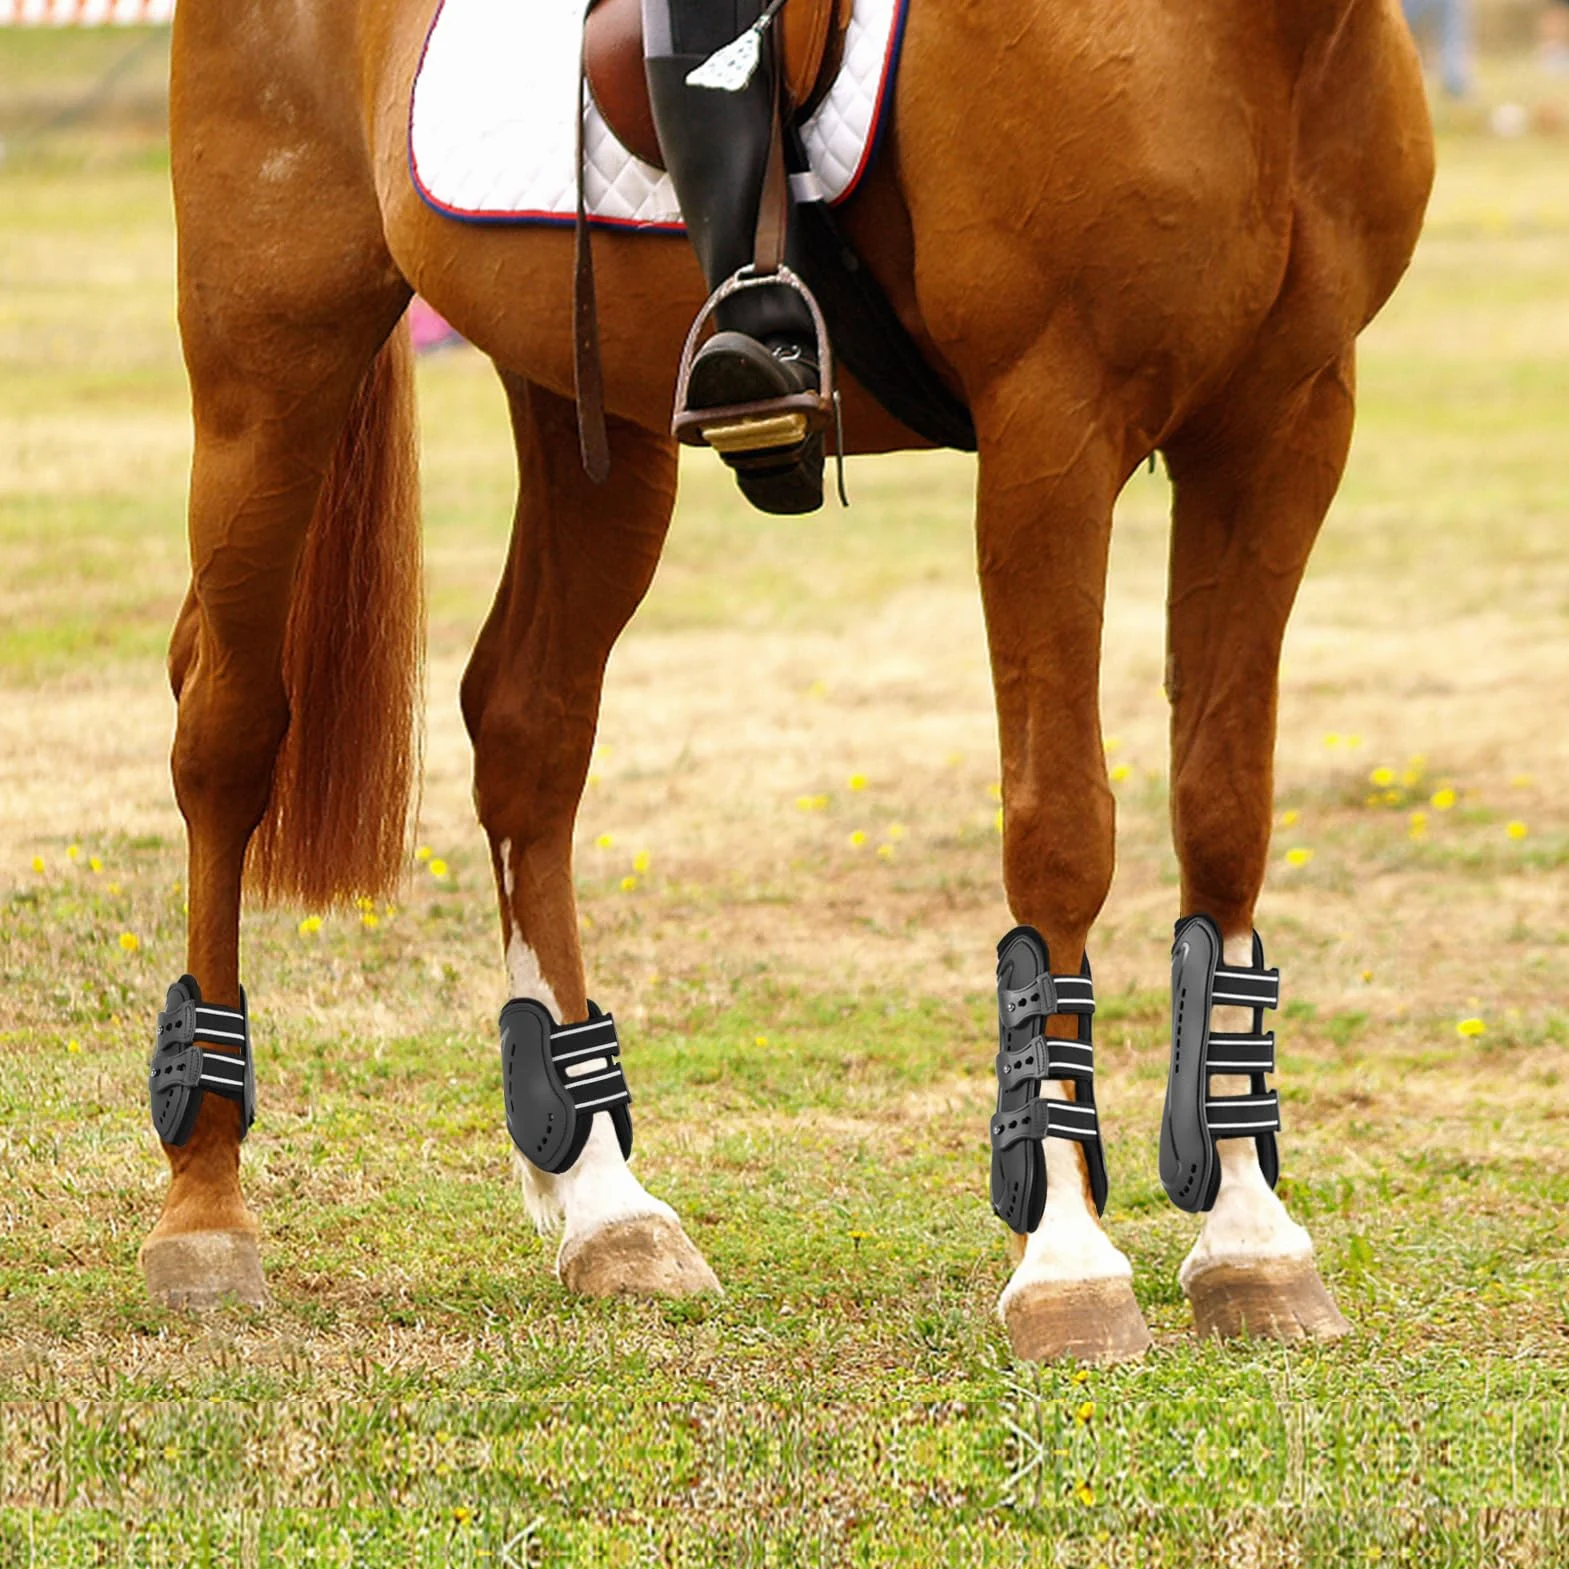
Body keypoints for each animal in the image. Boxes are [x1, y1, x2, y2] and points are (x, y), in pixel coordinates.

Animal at [145, 0, 1433, 1362]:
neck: (1267, 41)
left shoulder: (1283, 426)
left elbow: (1226, 813)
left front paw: (1252, 1242)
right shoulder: (1051, 429)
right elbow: (1063, 828)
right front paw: (1067, 1257)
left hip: (587, 412)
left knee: (525, 728)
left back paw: (603, 1202)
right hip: (269, 360)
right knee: (226, 730)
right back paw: (204, 1208)